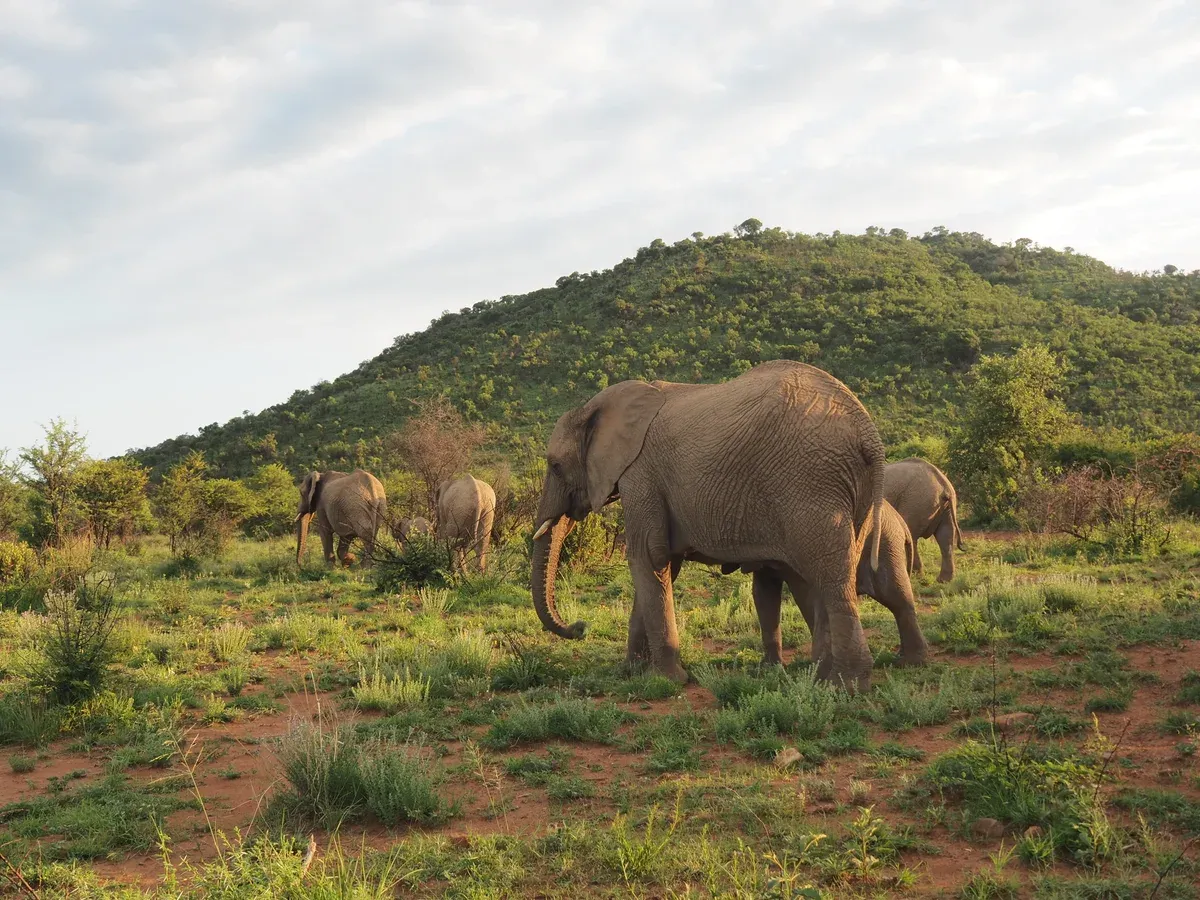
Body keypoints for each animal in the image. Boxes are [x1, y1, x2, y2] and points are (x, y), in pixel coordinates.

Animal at [530, 360, 887, 692]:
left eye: (555, 466)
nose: (579, 626)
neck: (595, 406)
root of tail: (867, 430)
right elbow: (663, 564)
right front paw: (631, 672)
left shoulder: (641, 474)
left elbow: (648, 556)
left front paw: (666, 681)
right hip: (846, 492)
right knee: (823, 575)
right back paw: (820, 679)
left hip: (810, 482)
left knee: (831, 578)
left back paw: (844, 686)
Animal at [720, 500, 929, 668]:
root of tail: (901, 522)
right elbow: (764, 592)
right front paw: (770, 668)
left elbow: (803, 593)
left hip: (885, 547)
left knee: (895, 598)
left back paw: (910, 663)